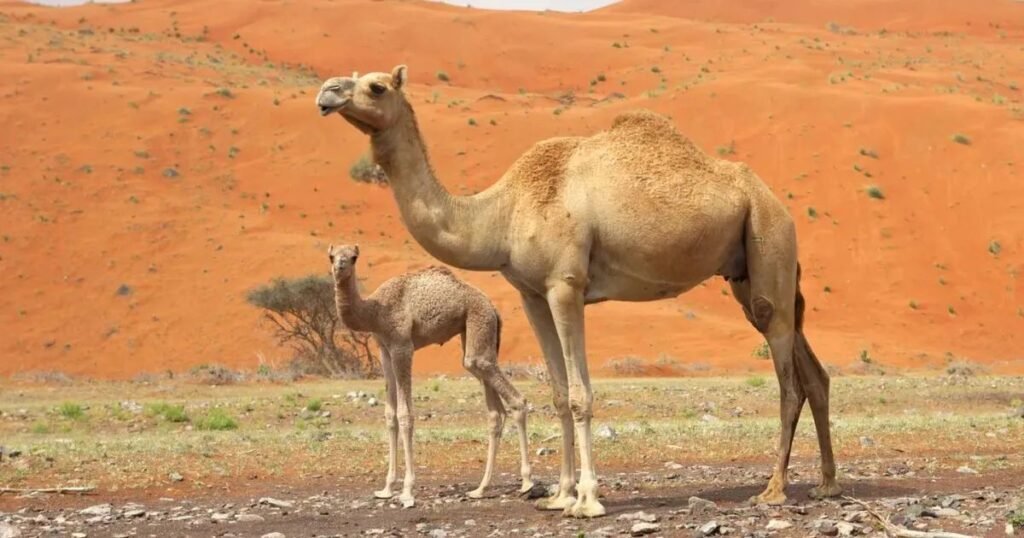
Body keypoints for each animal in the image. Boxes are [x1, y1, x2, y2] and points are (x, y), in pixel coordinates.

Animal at [327, 243, 534, 507]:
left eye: (353, 258)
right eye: (331, 256)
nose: (339, 267)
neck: (374, 311)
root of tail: (494, 308)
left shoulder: (402, 346)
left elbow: (405, 415)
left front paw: (407, 492)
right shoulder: (384, 348)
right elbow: (390, 415)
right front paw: (386, 488)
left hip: (479, 322)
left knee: (515, 399)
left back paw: (527, 482)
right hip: (474, 335)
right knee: (494, 409)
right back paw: (480, 489)